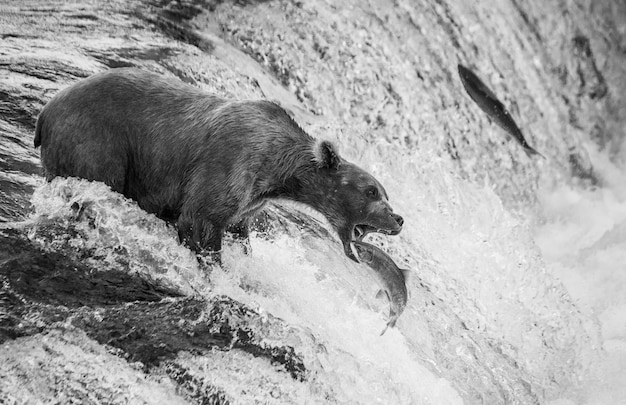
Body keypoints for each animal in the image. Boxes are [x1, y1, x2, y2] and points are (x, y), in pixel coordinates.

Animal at [34, 68, 402, 260]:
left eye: (384, 192)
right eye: (372, 191)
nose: (398, 219)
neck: (278, 170)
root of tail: (47, 109)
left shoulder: (252, 200)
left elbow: (238, 228)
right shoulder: (231, 162)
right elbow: (201, 219)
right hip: (98, 140)